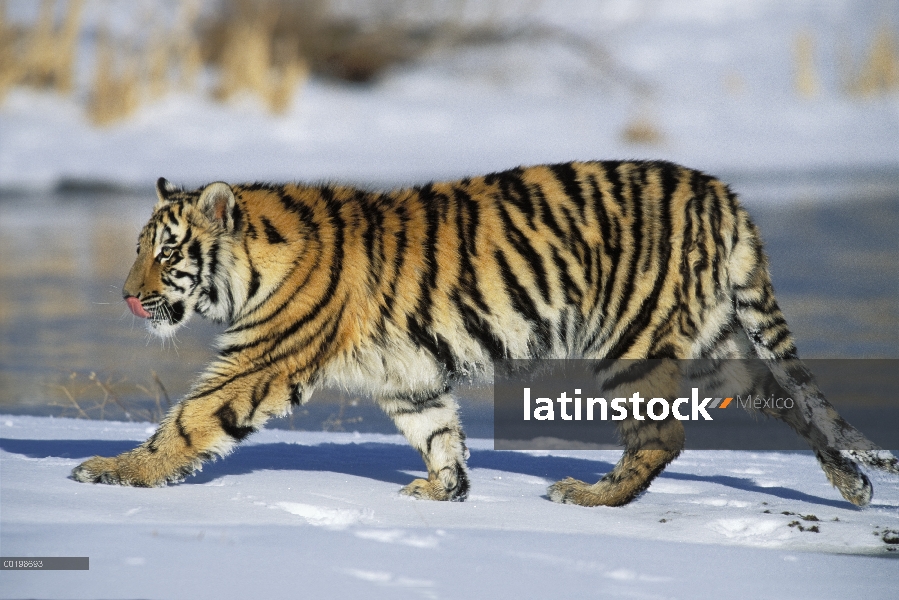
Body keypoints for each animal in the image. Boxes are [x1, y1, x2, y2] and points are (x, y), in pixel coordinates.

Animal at [72, 161, 899, 506]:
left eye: (165, 252)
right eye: (141, 250)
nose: (127, 296)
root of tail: (719, 191)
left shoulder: (262, 361)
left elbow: (186, 422)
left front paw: (112, 472)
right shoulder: (407, 377)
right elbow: (439, 432)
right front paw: (446, 491)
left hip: (632, 342)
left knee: (664, 437)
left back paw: (590, 497)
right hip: (711, 344)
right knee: (783, 397)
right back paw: (850, 485)